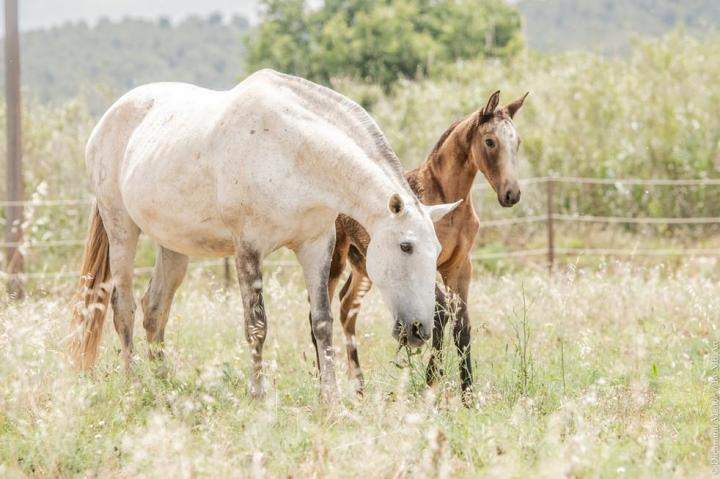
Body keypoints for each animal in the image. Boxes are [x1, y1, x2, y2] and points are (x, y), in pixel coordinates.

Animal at [68, 69, 460, 399]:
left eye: (436, 250)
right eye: (406, 246)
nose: (419, 330)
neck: (293, 150)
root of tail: (106, 121)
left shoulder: (316, 246)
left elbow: (321, 322)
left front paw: (331, 398)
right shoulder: (248, 249)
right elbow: (257, 325)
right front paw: (256, 394)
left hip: (173, 246)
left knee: (154, 309)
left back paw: (165, 384)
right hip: (121, 230)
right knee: (123, 308)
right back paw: (135, 386)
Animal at [321, 90, 528, 400]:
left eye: (517, 141)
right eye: (490, 141)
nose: (511, 194)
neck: (449, 205)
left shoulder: (460, 266)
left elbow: (462, 325)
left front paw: (468, 395)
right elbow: (440, 312)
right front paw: (432, 381)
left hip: (364, 267)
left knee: (347, 306)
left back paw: (358, 386)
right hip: (335, 258)